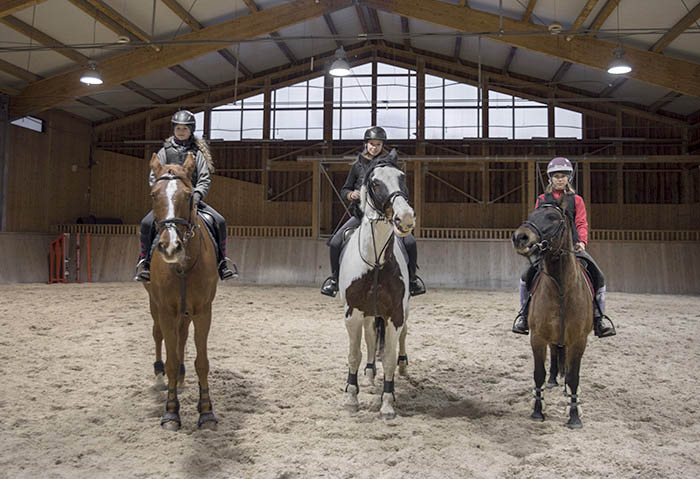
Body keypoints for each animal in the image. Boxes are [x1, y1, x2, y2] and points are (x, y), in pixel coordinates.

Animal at [143, 154, 217, 432]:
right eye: (154, 194)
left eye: (187, 196)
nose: (170, 247)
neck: (183, 265)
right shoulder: (165, 309)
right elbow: (171, 361)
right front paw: (171, 412)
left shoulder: (203, 311)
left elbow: (202, 362)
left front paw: (206, 411)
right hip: (154, 303)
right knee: (158, 335)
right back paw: (158, 373)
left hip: (185, 312)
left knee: (182, 337)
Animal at [340, 151, 416, 420]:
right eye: (375, 183)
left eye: (403, 178)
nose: (405, 218)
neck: (375, 261)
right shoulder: (353, 313)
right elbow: (354, 355)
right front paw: (351, 397)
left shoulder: (395, 313)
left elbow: (390, 359)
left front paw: (388, 403)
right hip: (369, 313)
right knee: (371, 337)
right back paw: (370, 373)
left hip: (404, 310)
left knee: (403, 335)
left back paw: (402, 366)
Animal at [512, 195, 592, 432]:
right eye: (531, 214)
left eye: (553, 217)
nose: (520, 237)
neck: (561, 288)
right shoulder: (538, 337)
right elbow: (539, 374)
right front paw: (538, 411)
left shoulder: (578, 341)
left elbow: (574, 377)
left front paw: (574, 415)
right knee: (555, 354)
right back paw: (554, 380)